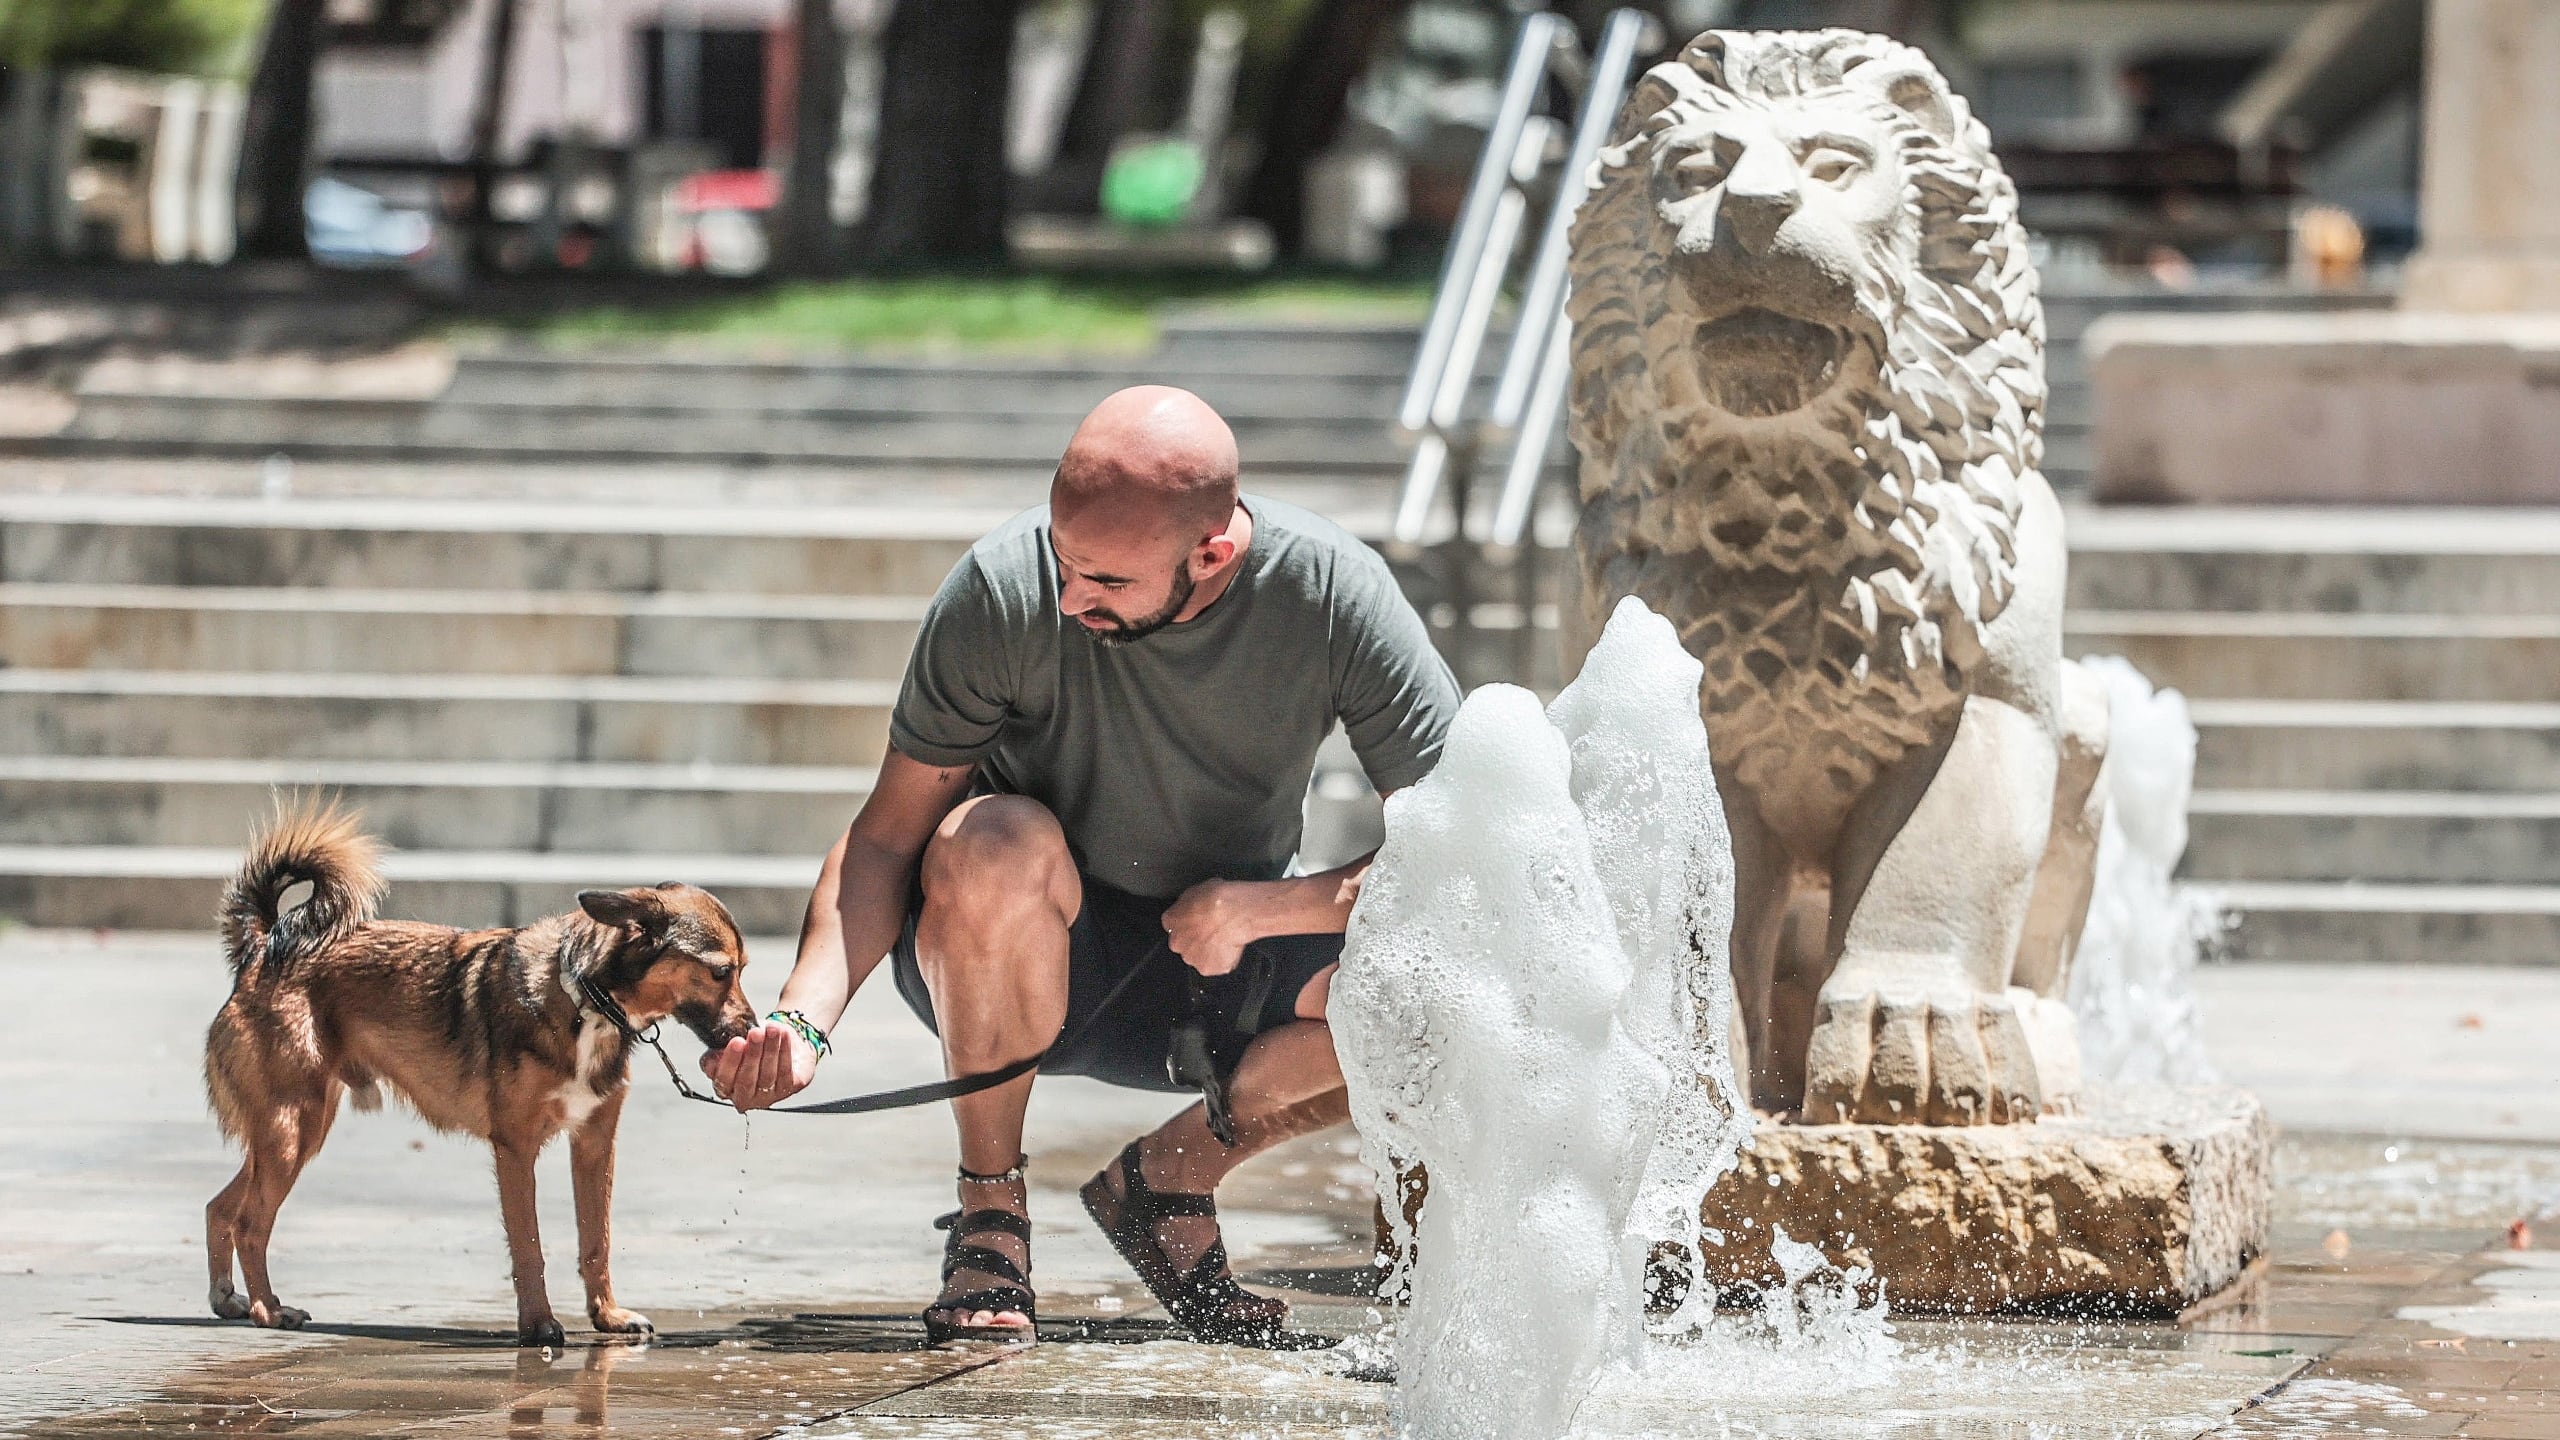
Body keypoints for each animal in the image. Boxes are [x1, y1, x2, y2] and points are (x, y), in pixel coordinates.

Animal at [203, 799, 752, 1342]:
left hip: (294, 1132)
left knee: (222, 1206)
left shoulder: (595, 1145)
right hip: (292, 1128)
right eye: (721, 972)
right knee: (251, 1222)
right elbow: (529, 1246)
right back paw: (269, 1310)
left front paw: (607, 1315)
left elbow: (597, 1240)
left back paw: (228, 1298)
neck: (585, 999)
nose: (751, 1026)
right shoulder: (516, 1147)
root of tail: (261, 950)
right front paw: (538, 1325)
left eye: (743, 970)